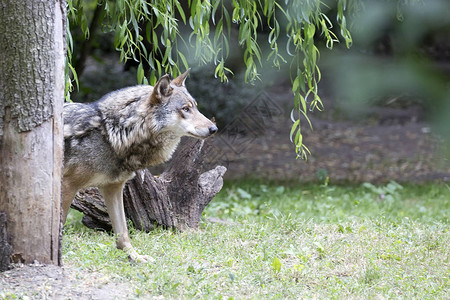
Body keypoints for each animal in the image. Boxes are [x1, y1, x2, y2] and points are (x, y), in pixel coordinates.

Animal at [62, 69, 217, 262]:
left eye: (195, 107)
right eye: (185, 109)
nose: (214, 129)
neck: (112, 133)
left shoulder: (112, 188)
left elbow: (123, 233)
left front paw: (135, 257)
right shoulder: (68, 185)